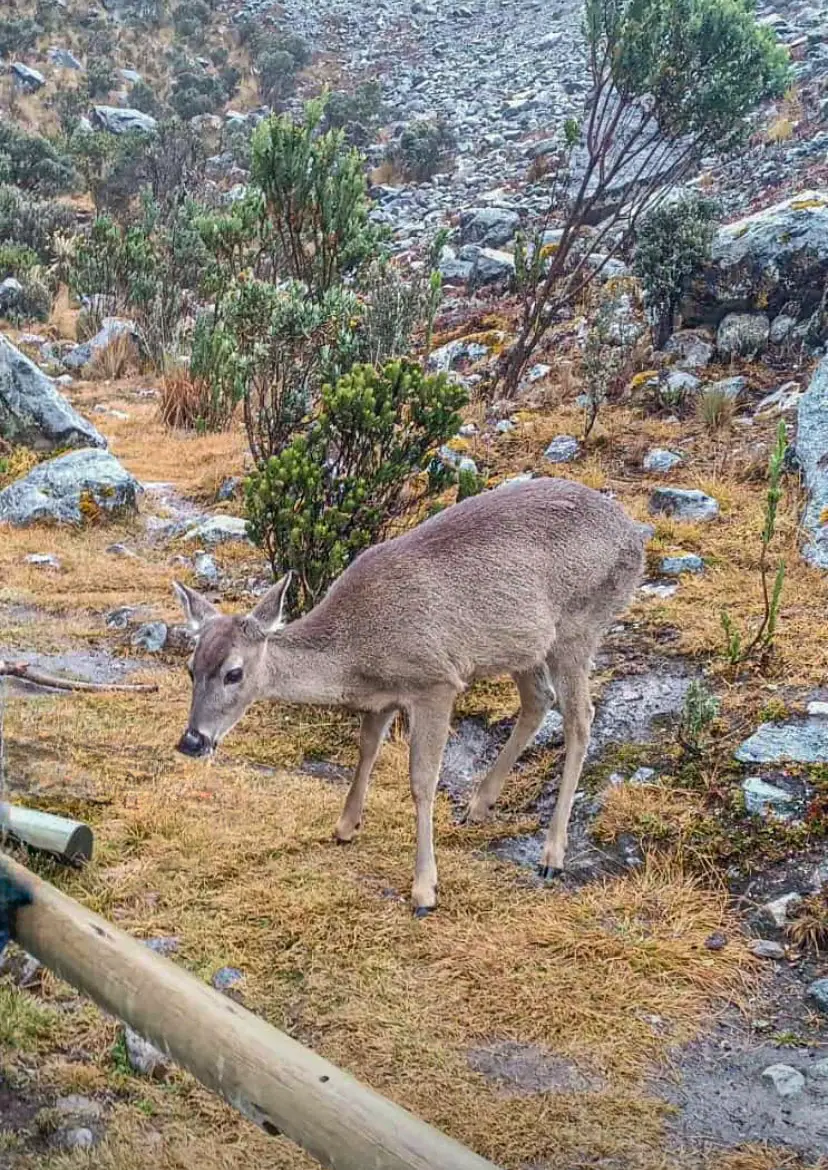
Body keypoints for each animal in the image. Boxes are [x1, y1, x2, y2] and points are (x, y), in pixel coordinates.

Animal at [173, 477, 646, 916]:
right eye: (191, 667)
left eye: (234, 673)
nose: (191, 741)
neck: (357, 651)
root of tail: (635, 535)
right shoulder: (383, 696)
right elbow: (366, 749)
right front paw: (345, 826)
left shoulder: (435, 681)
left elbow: (421, 780)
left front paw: (424, 889)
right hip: (522, 645)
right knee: (538, 702)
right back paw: (479, 805)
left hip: (578, 625)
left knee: (580, 717)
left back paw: (552, 855)